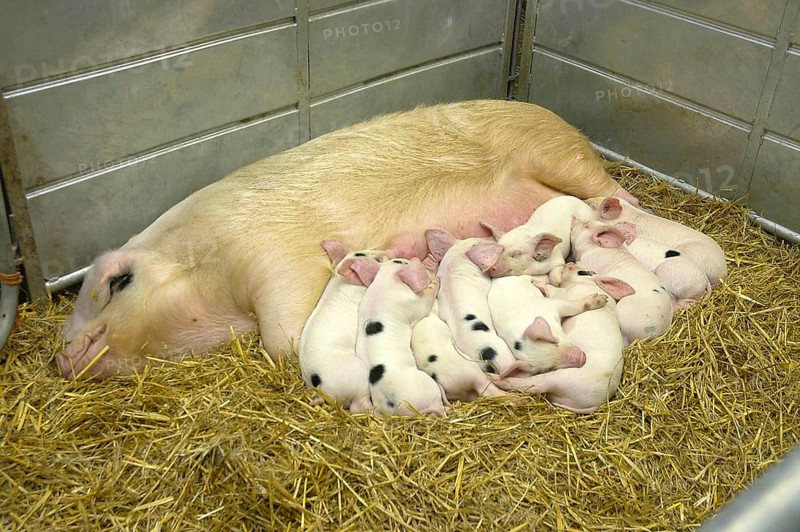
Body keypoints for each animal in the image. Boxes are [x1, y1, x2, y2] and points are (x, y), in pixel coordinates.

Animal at [353, 258, 447, 417]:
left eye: (396, 260)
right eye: (403, 262)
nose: (415, 258)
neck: (384, 282)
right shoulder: (414, 303)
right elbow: (425, 302)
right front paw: (436, 280)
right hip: (426, 384)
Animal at [493, 263, 634, 413]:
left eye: (583, 272)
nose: (569, 263)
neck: (587, 284)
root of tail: (597, 402)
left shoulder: (563, 295)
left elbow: (554, 289)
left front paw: (601, 298)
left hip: (561, 378)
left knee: (532, 384)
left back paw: (494, 378)